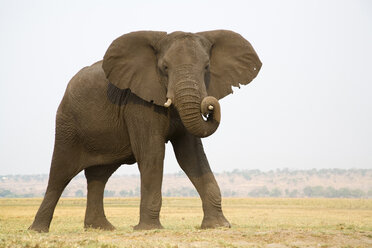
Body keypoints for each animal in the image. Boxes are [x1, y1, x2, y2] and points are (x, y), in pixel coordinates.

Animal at [29, 29, 262, 232]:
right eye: (165, 68)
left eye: (206, 67)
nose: (210, 106)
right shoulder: (138, 103)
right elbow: (152, 153)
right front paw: (149, 229)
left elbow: (191, 156)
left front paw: (218, 226)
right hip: (67, 123)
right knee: (60, 173)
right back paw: (38, 230)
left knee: (99, 175)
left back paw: (102, 229)